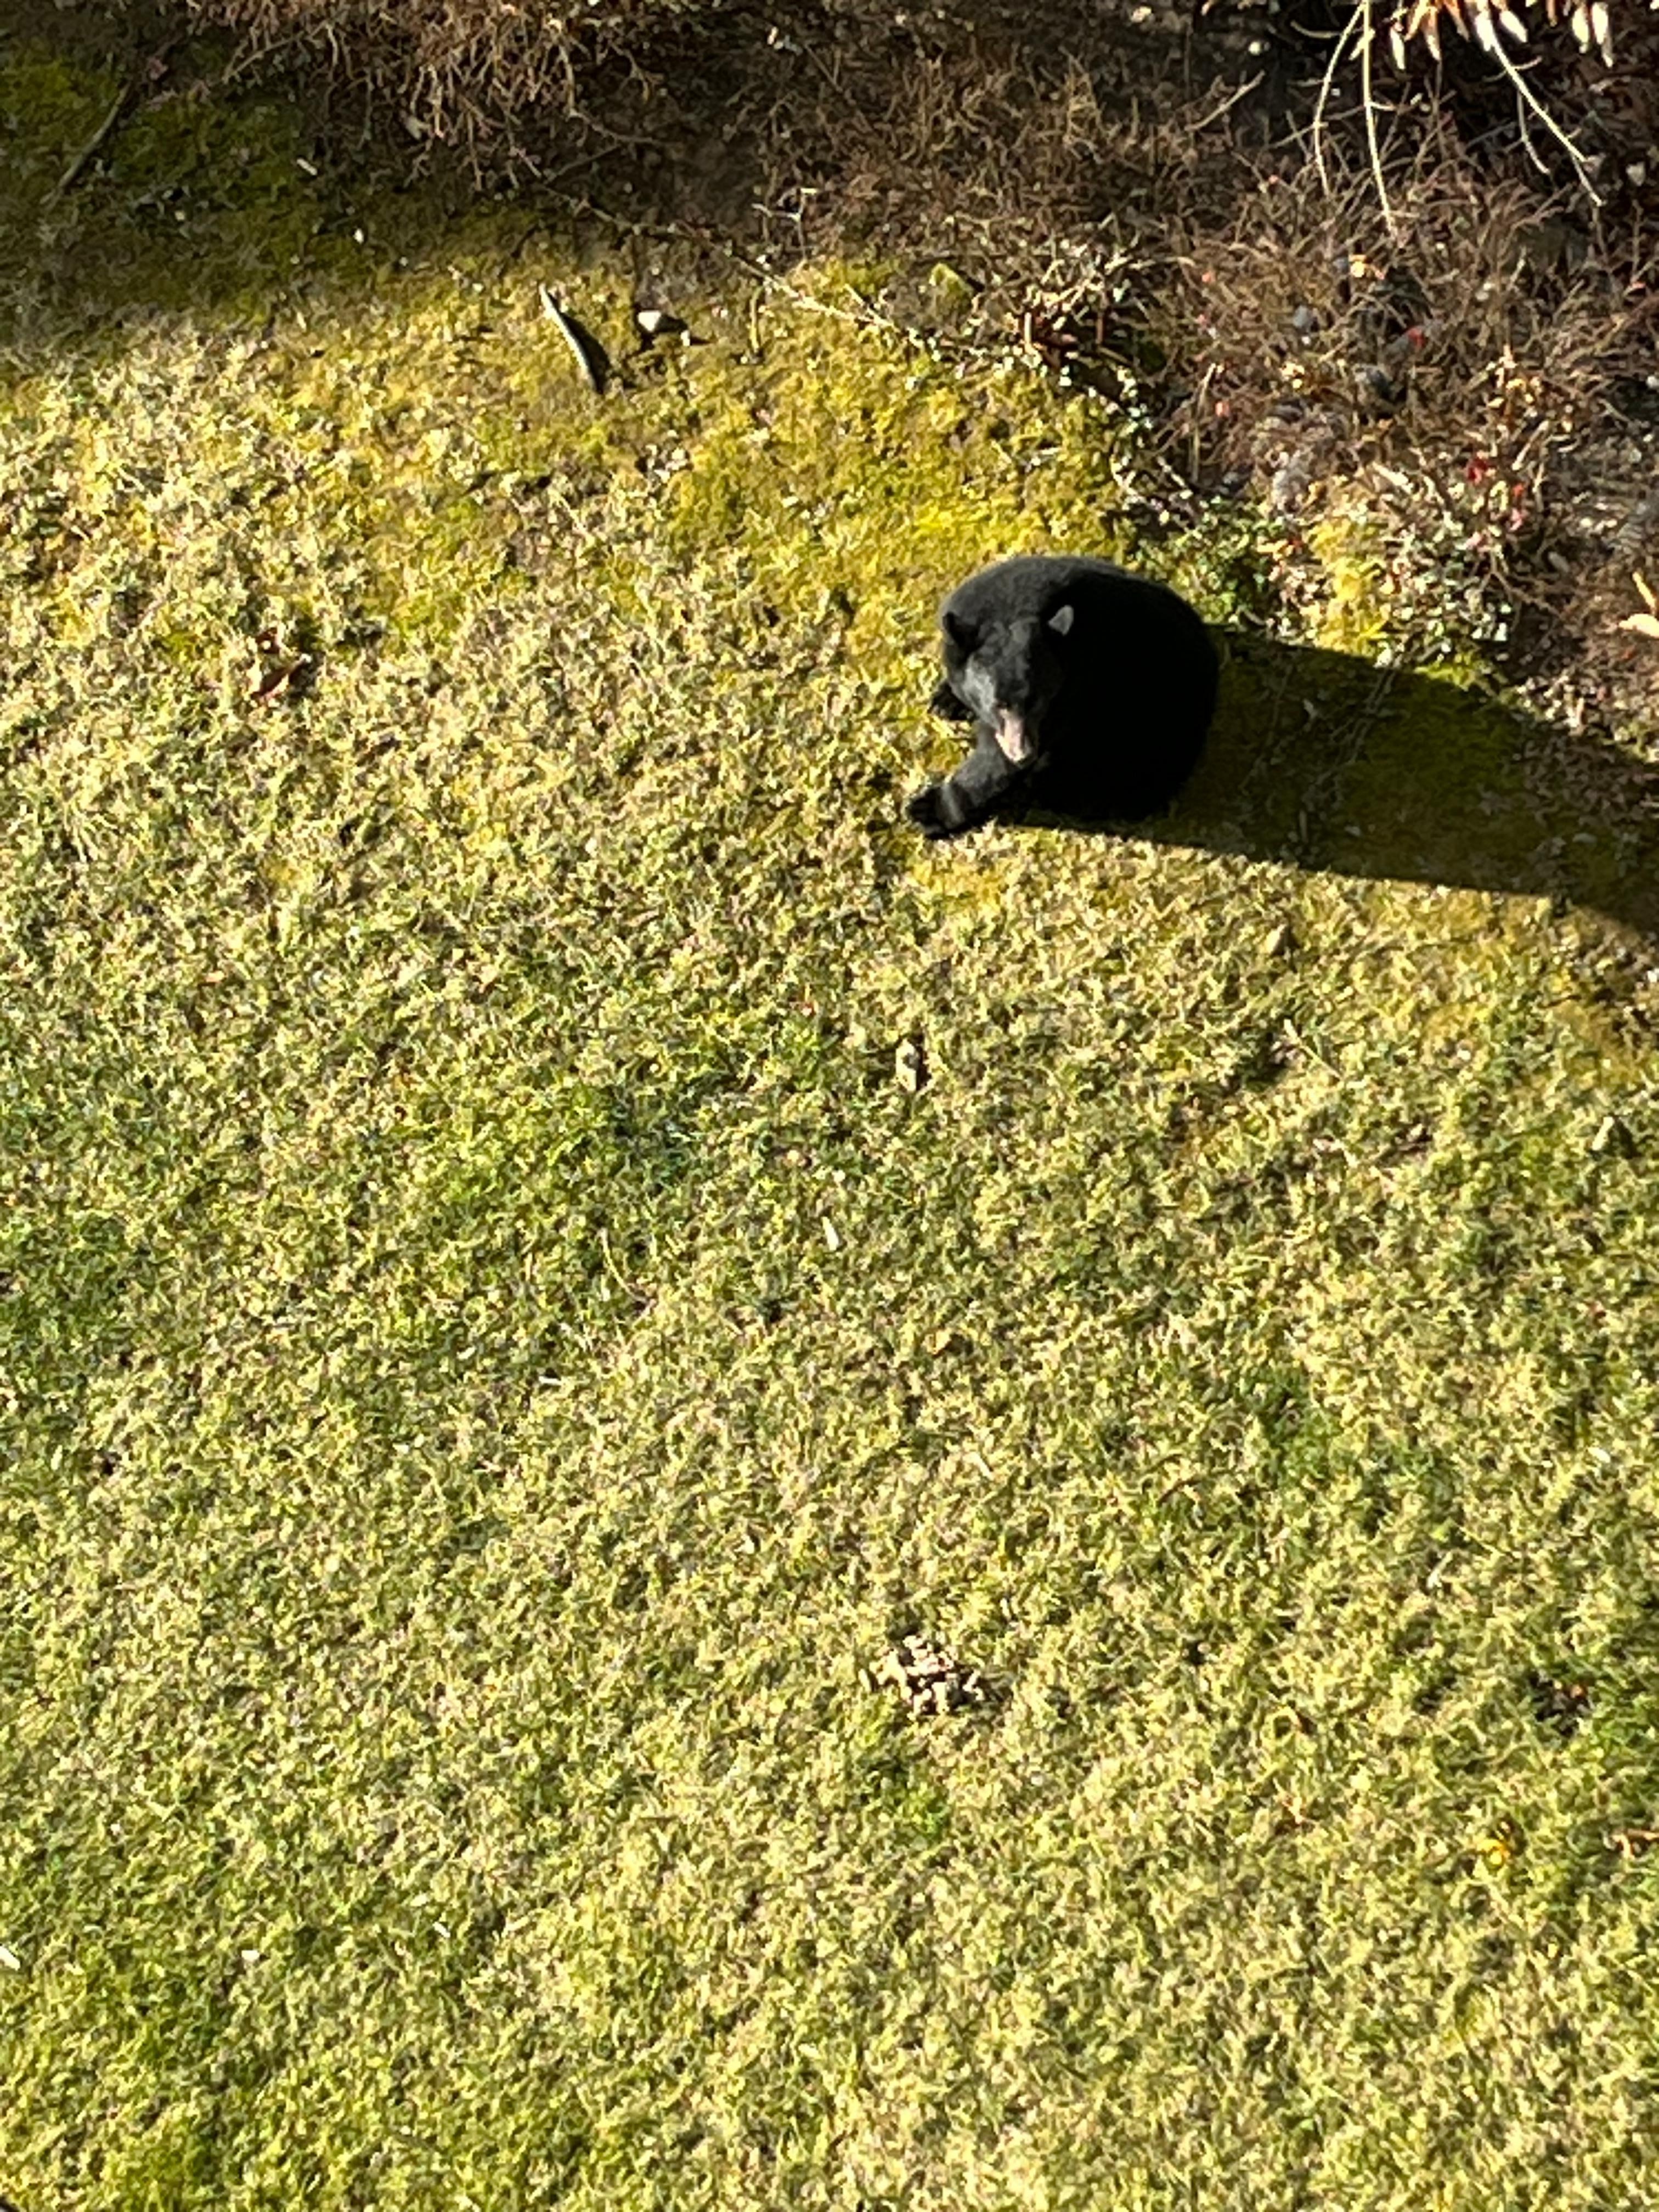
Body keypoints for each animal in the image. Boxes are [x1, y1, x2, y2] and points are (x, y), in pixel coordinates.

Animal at [906, 555, 1219, 841]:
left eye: (1039, 704)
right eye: (1000, 705)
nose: (1024, 753)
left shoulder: (1073, 687)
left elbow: (994, 763)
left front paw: (929, 811)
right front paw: (947, 699)